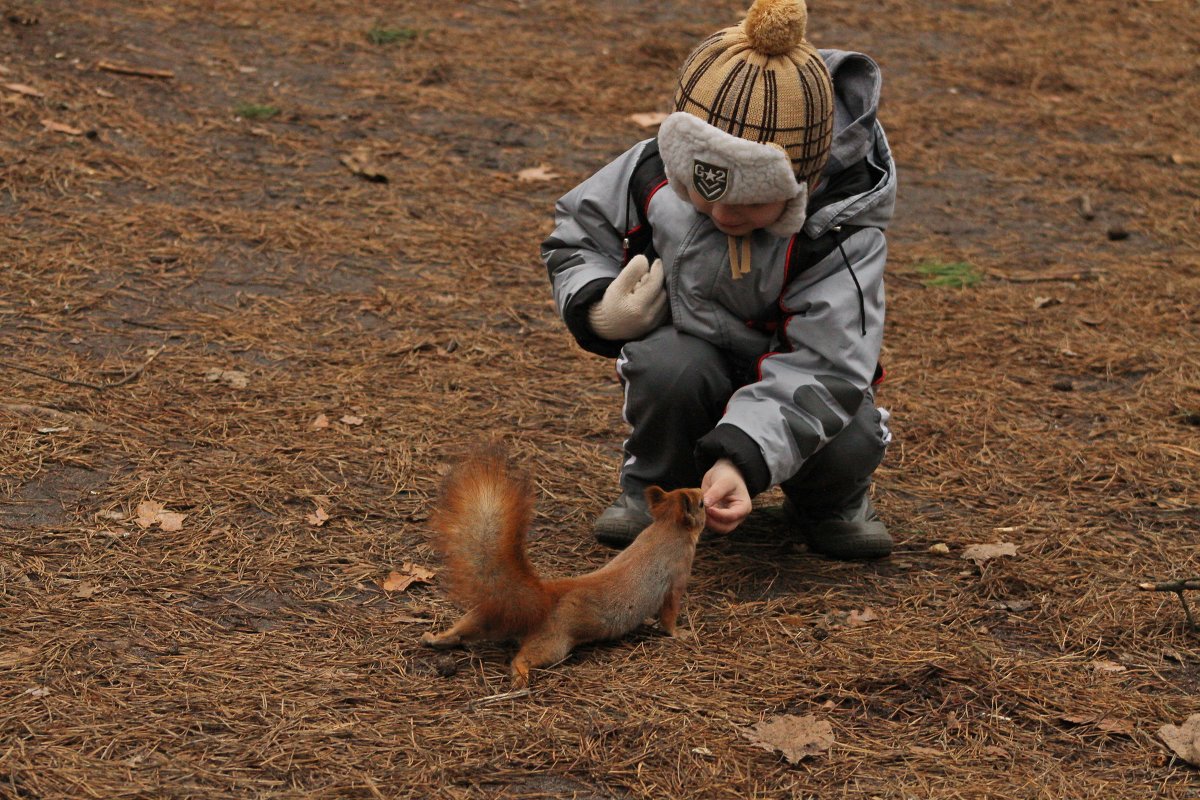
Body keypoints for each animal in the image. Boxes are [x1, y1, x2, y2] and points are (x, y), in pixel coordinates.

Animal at [420, 450, 705, 690]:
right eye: (701, 503)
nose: (703, 490)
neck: (666, 528)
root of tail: (543, 599)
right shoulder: (676, 577)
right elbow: (669, 613)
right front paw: (679, 633)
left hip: (490, 617)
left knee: (465, 629)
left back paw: (435, 637)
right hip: (553, 640)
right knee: (523, 657)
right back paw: (521, 676)